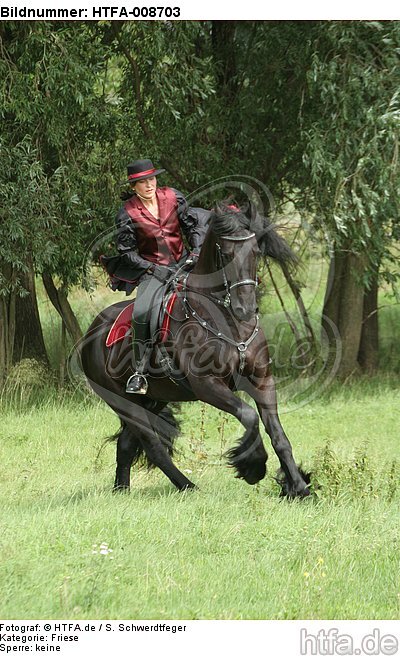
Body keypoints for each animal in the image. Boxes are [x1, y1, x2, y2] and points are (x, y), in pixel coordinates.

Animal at [79, 203, 310, 498]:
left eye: (256, 252)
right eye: (226, 254)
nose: (245, 308)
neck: (229, 322)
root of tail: (91, 333)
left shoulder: (262, 380)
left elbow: (279, 435)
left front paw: (298, 487)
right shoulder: (208, 385)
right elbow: (248, 416)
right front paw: (253, 467)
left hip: (153, 398)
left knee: (127, 445)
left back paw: (122, 490)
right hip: (124, 402)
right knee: (153, 447)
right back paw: (188, 487)